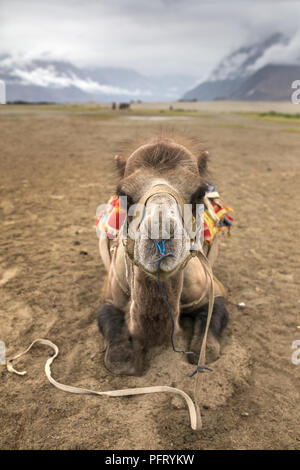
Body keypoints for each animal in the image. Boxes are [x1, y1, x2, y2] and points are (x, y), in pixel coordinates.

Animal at [97, 136, 229, 374]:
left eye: (199, 194)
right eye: (123, 194)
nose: (160, 233)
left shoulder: (214, 289)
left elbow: (205, 348)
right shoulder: (109, 297)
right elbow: (118, 360)